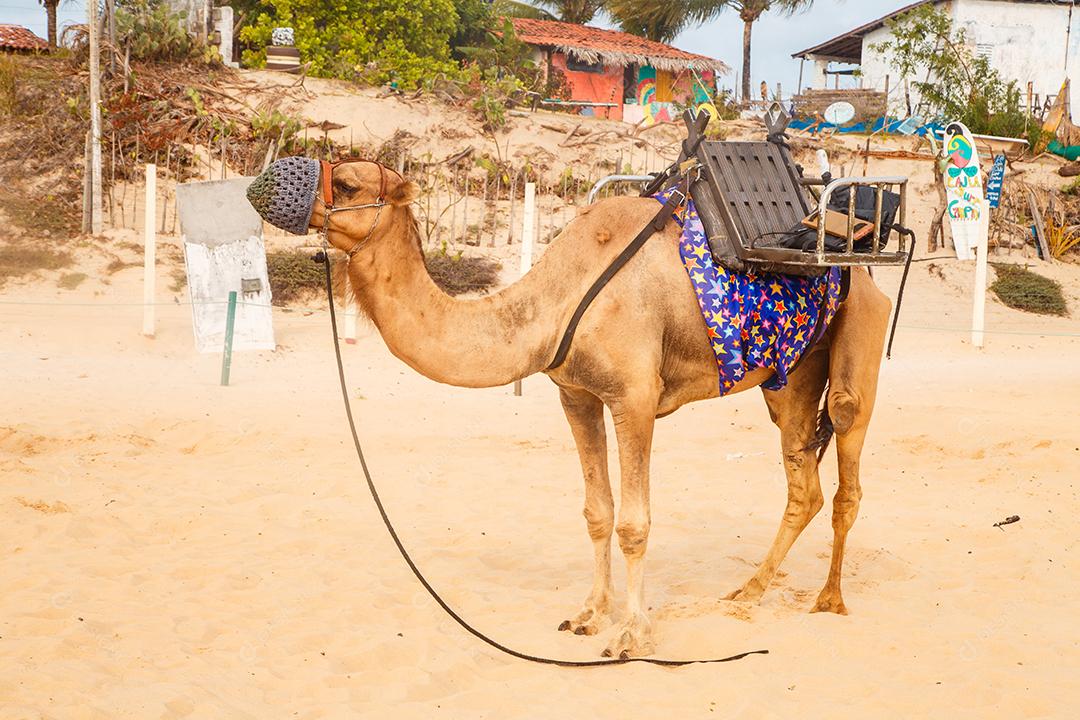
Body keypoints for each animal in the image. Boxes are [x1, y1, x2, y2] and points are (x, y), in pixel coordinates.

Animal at [257, 157, 889, 660]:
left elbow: (634, 522)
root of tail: (861, 263)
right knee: (803, 481)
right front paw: (589, 615)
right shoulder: (576, 394)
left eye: (347, 181)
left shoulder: (634, 397)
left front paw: (632, 635)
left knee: (846, 463)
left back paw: (828, 599)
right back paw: (746, 594)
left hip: (858, 344)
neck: (555, 301)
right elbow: (597, 512)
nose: (265, 183)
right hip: (789, 377)